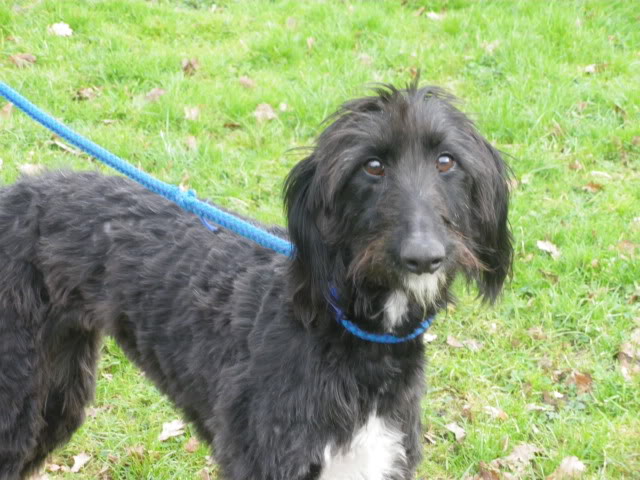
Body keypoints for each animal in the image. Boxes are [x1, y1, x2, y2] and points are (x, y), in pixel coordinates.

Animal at [0, 84, 510, 478]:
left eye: (446, 161)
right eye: (372, 166)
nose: (424, 256)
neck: (350, 331)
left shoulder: (380, 457)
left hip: (55, 396)